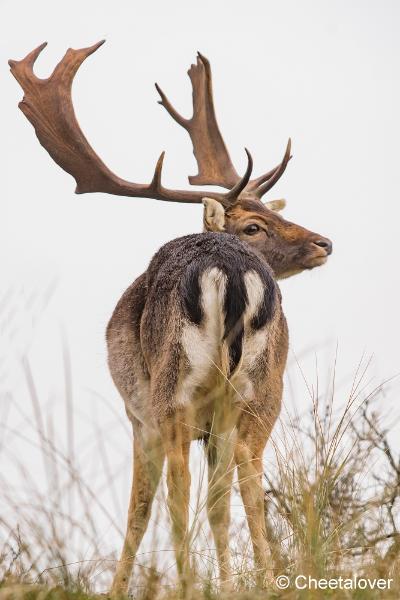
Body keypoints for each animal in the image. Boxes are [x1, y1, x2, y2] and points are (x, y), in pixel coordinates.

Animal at [10, 42, 332, 596]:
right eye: (256, 223)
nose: (323, 242)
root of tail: (232, 270)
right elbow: (218, 506)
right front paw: (228, 582)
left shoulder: (137, 414)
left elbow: (139, 510)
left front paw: (118, 589)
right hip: (260, 393)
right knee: (245, 477)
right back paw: (265, 578)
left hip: (173, 389)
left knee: (179, 491)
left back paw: (185, 582)